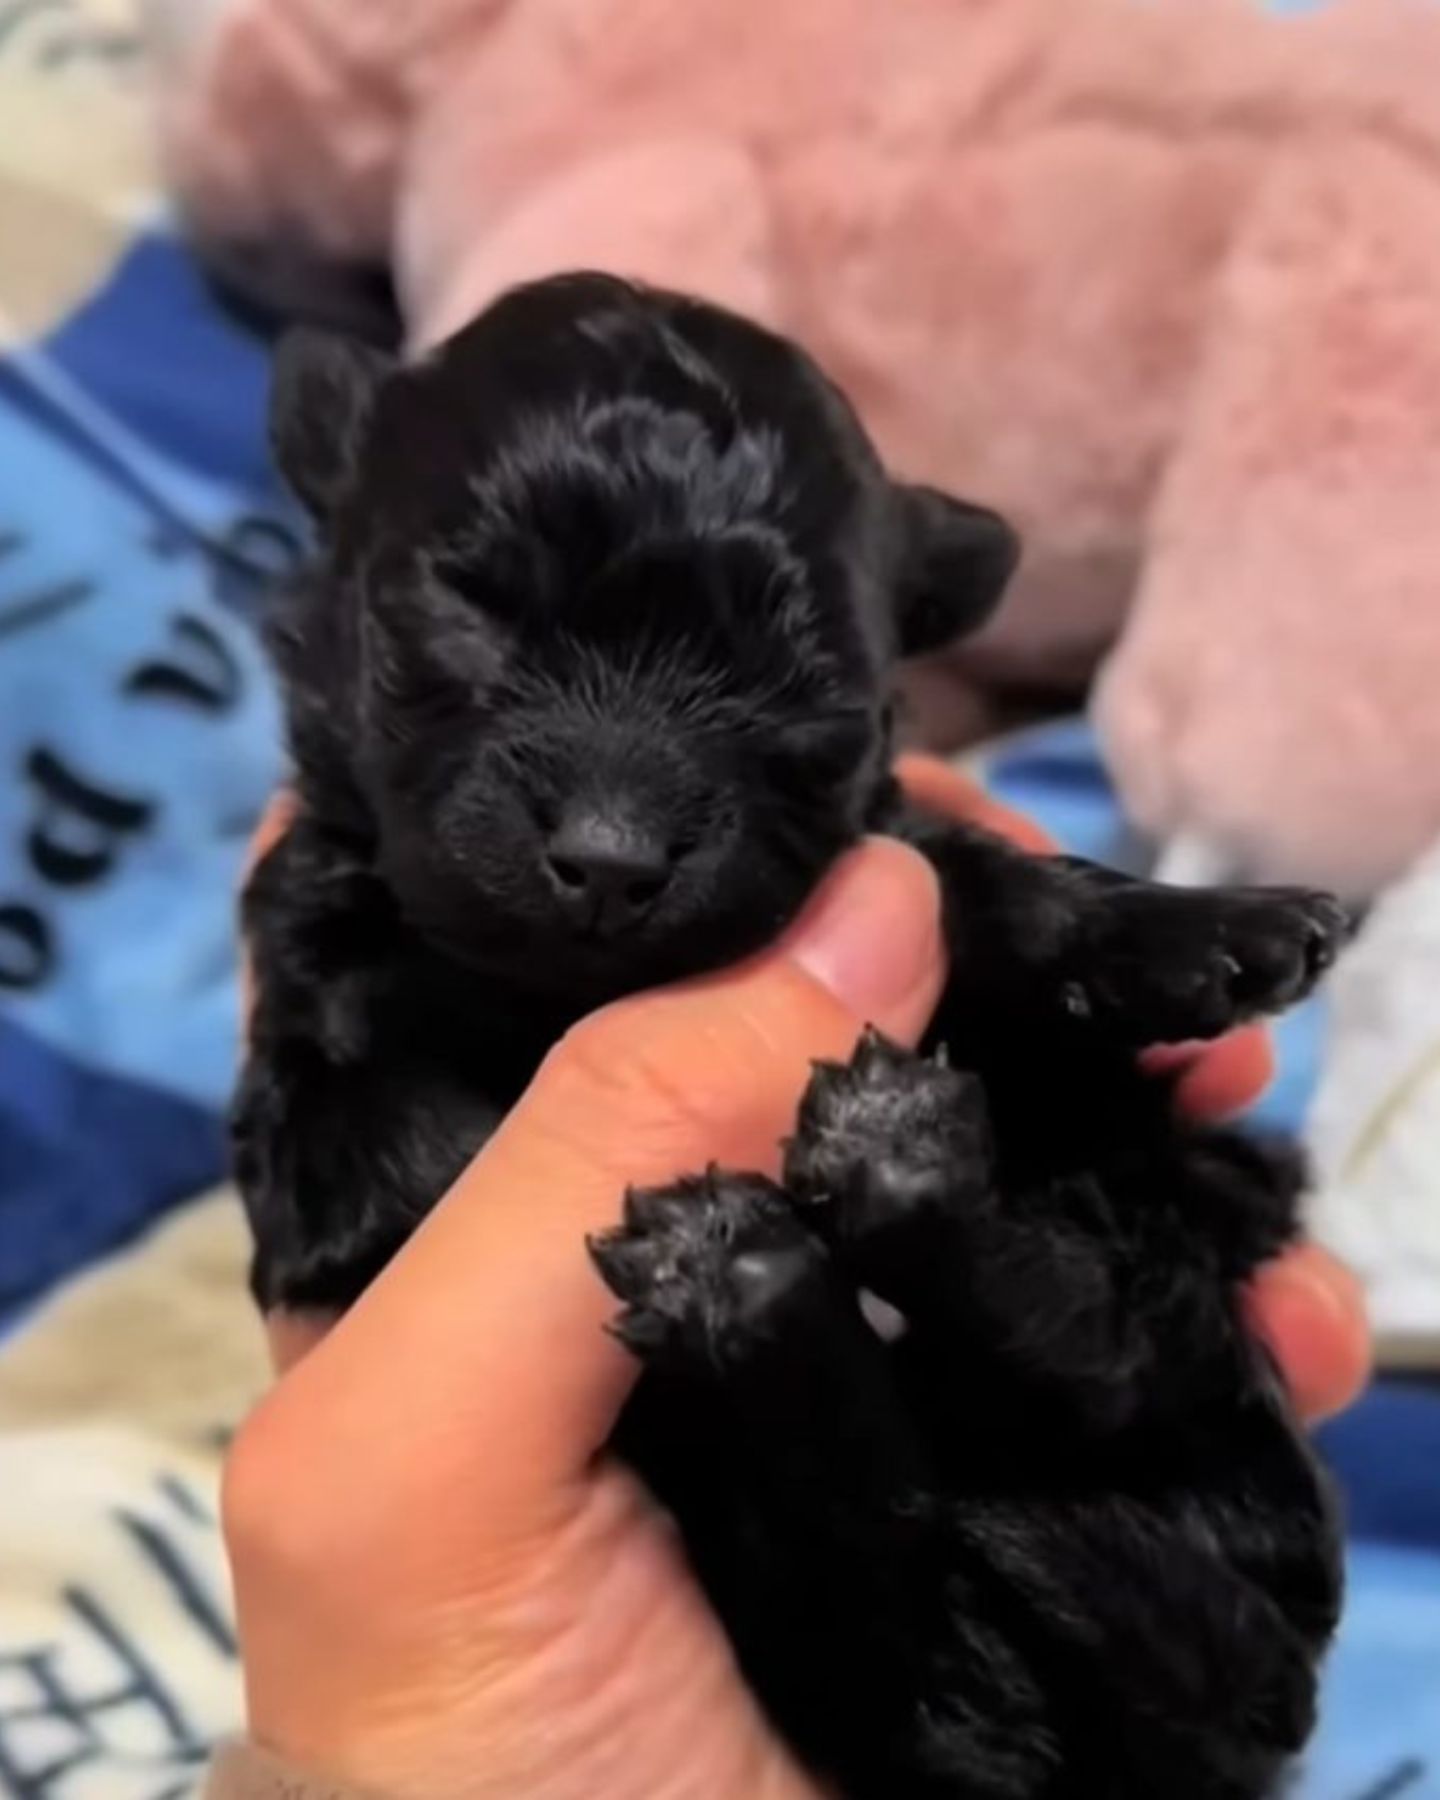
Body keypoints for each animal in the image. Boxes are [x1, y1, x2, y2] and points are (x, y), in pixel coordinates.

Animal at [239, 270, 1353, 1800]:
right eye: (468, 606)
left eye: (797, 686)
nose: (609, 860)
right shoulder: (313, 1072)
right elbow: (399, 1131)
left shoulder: (909, 870)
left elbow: (962, 878)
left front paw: (1192, 931)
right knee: (895, 1551)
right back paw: (753, 1277)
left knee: (1096, 1356)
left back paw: (879, 1188)